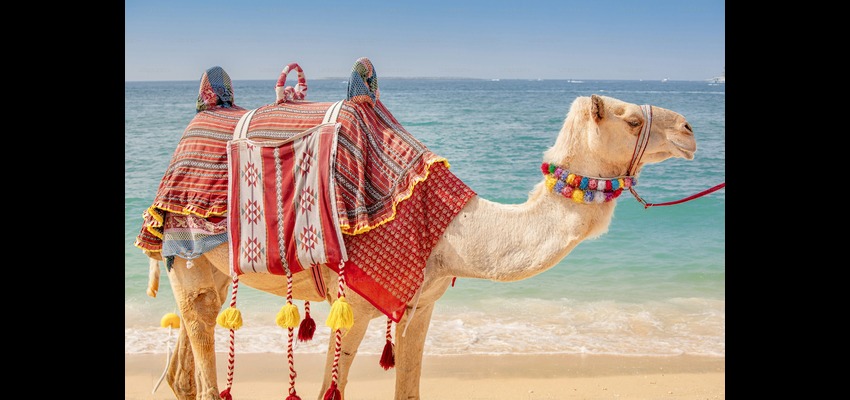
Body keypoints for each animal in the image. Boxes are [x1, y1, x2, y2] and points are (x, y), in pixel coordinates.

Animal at [143, 92, 696, 400]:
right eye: (630, 120)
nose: (690, 129)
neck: (449, 229)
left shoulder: (422, 305)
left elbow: (407, 390)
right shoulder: (356, 302)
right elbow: (330, 391)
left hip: (209, 270)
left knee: (186, 365)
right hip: (188, 253)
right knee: (203, 372)